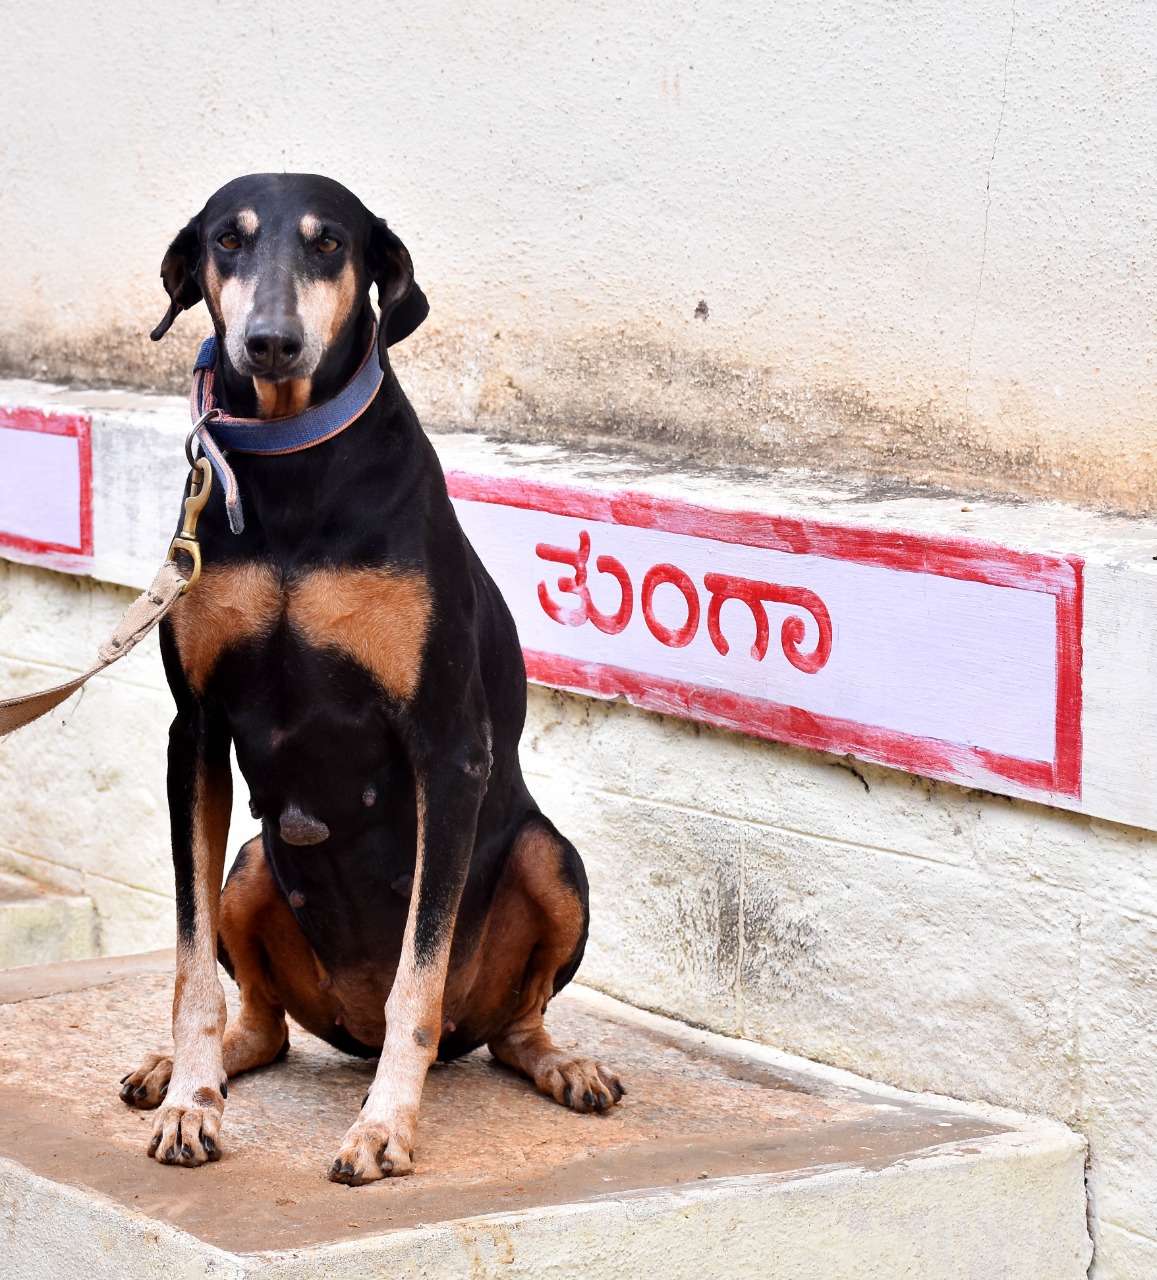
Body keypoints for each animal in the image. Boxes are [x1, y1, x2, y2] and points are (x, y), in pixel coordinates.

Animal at [116, 175, 619, 1182]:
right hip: (251, 867)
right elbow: (190, 965)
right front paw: (190, 1102)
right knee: (264, 1026)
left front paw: (384, 1126)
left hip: (549, 861)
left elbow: (414, 985)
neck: (291, 463)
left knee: (510, 1023)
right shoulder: (195, 732)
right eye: (227, 241)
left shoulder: (445, 745)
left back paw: (561, 1065)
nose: (269, 342)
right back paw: (188, 1074)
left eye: (327, 245)